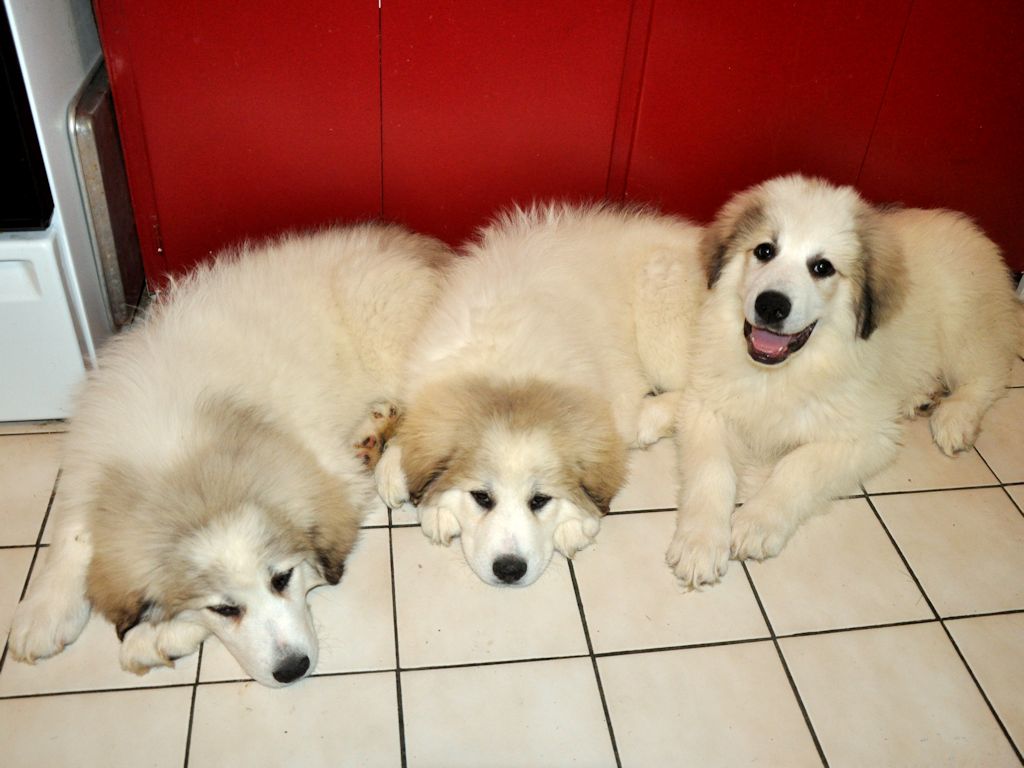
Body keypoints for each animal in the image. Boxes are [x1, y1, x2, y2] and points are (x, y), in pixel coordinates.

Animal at [667, 176, 1019, 589]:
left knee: (990, 372)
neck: (783, 372)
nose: (771, 305)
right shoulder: (705, 406)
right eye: (765, 250)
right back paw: (921, 396)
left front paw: (756, 522)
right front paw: (700, 542)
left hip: (964, 324)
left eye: (822, 267)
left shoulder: (867, 437)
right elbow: (712, 472)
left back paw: (954, 418)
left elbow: (798, 465)